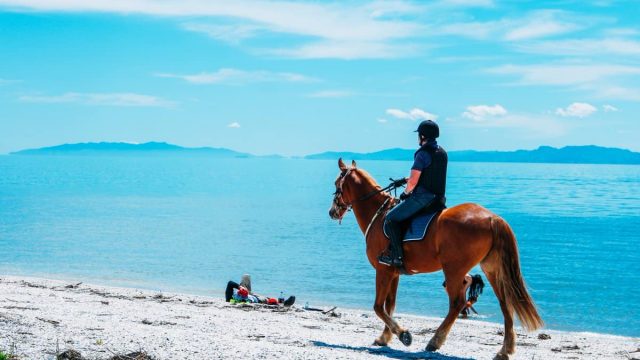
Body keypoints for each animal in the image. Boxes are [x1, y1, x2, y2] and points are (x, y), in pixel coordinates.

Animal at [328, 159, 544, 358]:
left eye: (337, 183)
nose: (332, 212)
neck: (379, 215)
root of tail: (492, 218)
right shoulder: (393, 273)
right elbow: (390, 306)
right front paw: (385, 337)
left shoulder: (383, 270)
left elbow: (378, 307)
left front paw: (403, 335)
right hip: (491, 268)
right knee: (504, 303)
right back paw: (505, 350)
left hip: (454, 270)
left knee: (457, 303)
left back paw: (435, 341)